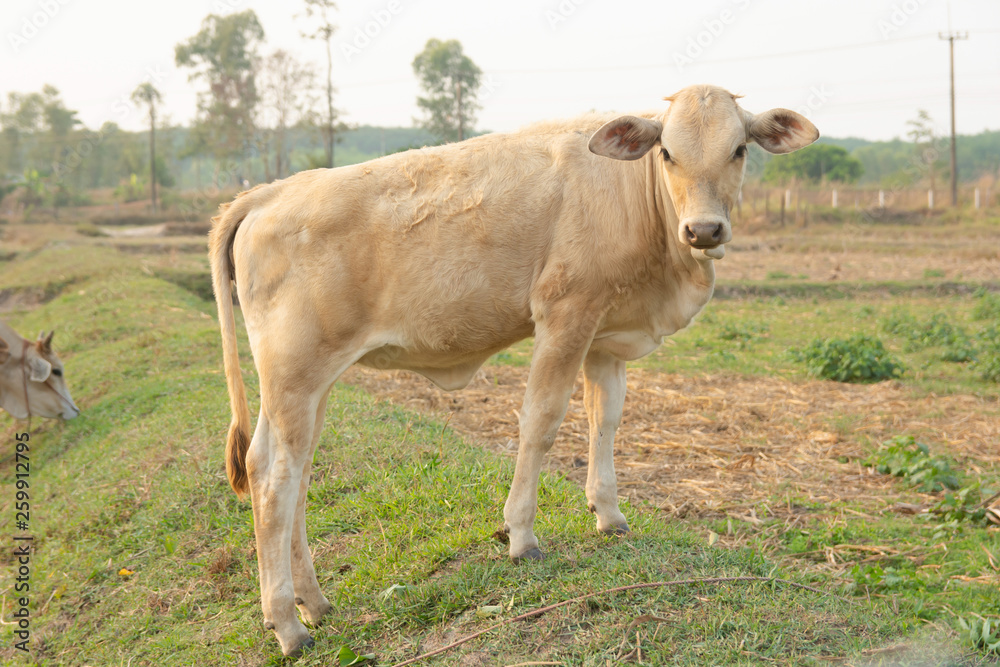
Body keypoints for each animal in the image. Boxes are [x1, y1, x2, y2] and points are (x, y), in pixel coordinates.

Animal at [209, 84, 818, 656]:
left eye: (739, 149)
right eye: (667, 152)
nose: (704, 230)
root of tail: (268, 192)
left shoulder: (606, 337)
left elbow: (605, 422)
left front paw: (609, 514)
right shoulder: (564, 316)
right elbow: (541, 423)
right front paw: (521, 535)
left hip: (305, 389)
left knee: (288, 472)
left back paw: (314, 603)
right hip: (295, 375)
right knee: (275, 480)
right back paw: (287, 624)